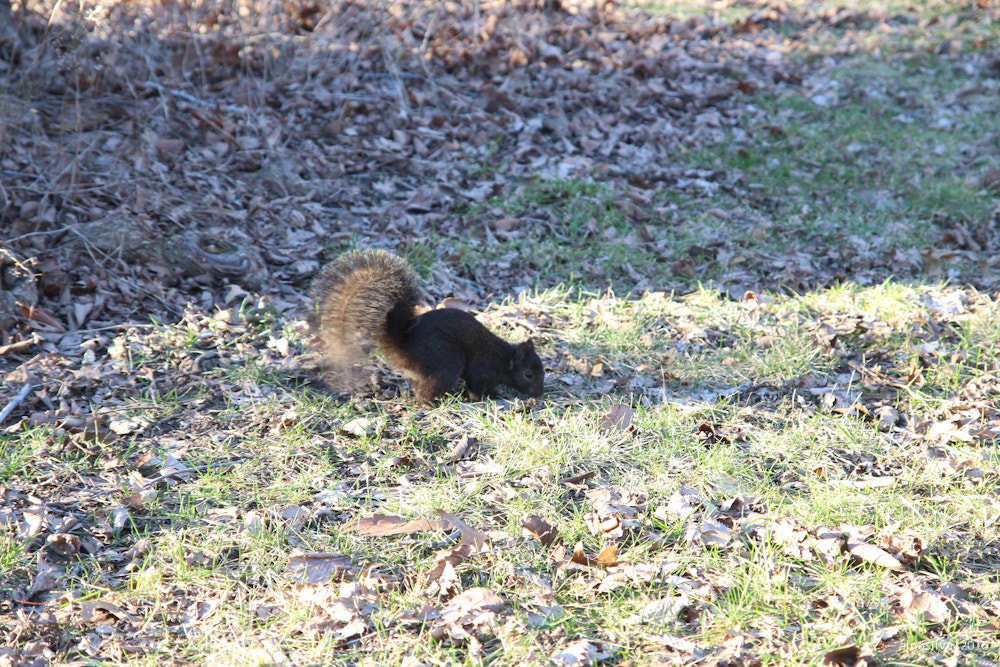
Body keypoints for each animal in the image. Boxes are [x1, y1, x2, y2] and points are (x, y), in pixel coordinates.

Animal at [308, 248, 544, 405]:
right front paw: (487, 397)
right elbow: (475, 386)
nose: (539, 393)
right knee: (425, 394)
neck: (505, 359)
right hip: (447, 361)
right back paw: (434, 403)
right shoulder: (481, 369)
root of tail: (403, 347)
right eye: (528, 374)